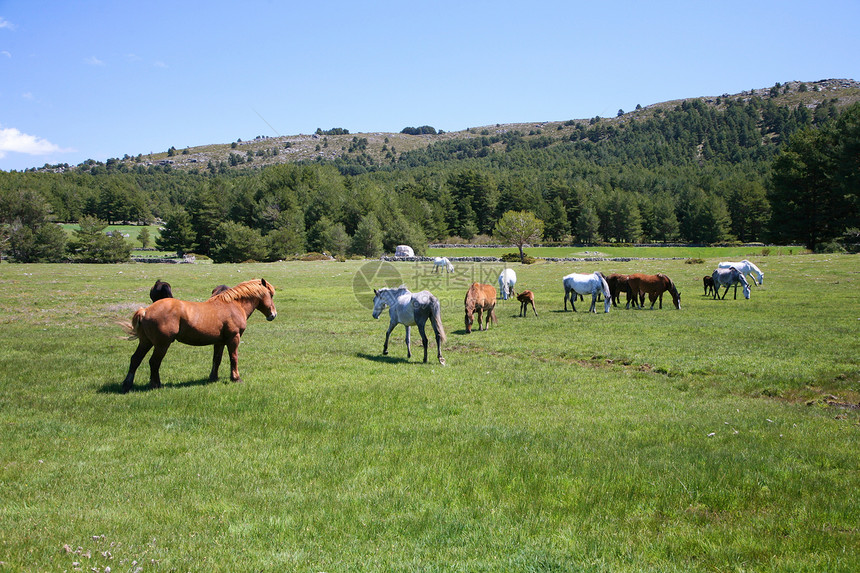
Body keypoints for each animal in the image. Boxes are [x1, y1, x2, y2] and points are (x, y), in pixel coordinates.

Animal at [119, 278, 276, 394]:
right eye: (271, 295)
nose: (273, 315)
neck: (233, 305)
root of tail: (145, 311)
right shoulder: (233, 338)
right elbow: (233, 358)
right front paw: (236, 378)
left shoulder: (219, 342)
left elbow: (217, 359)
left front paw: (213, 378)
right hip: (162, 344)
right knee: (154, 362)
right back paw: (156, 384)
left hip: (146, 342)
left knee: (135, 359)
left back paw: (127, 384)